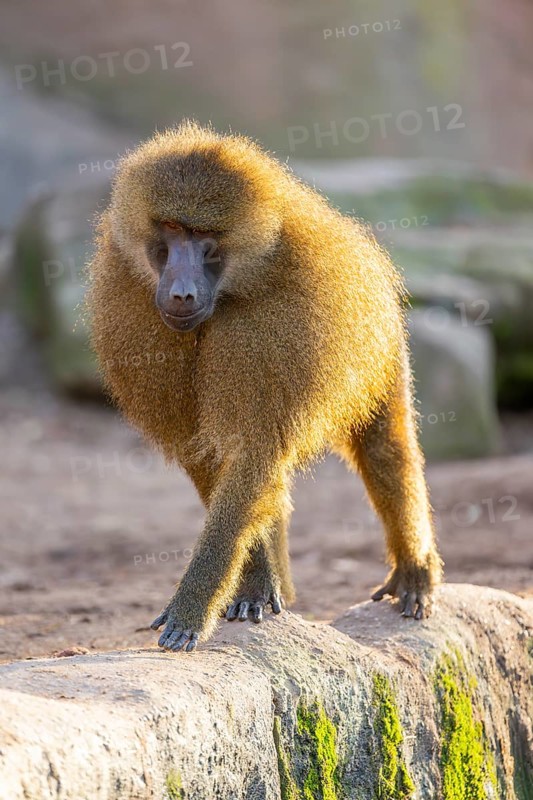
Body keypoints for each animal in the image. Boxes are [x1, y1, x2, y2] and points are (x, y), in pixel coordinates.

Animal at [87, 121, 442, 653]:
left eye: (205, 237)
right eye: (172, 231)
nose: (181, 294)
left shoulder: (269, 326)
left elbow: (250, 452)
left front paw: (191, 610)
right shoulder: (136, 309)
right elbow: (212, 455)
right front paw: (251, 586)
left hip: (384, 347)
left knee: (386, 448)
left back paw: (414, 571)